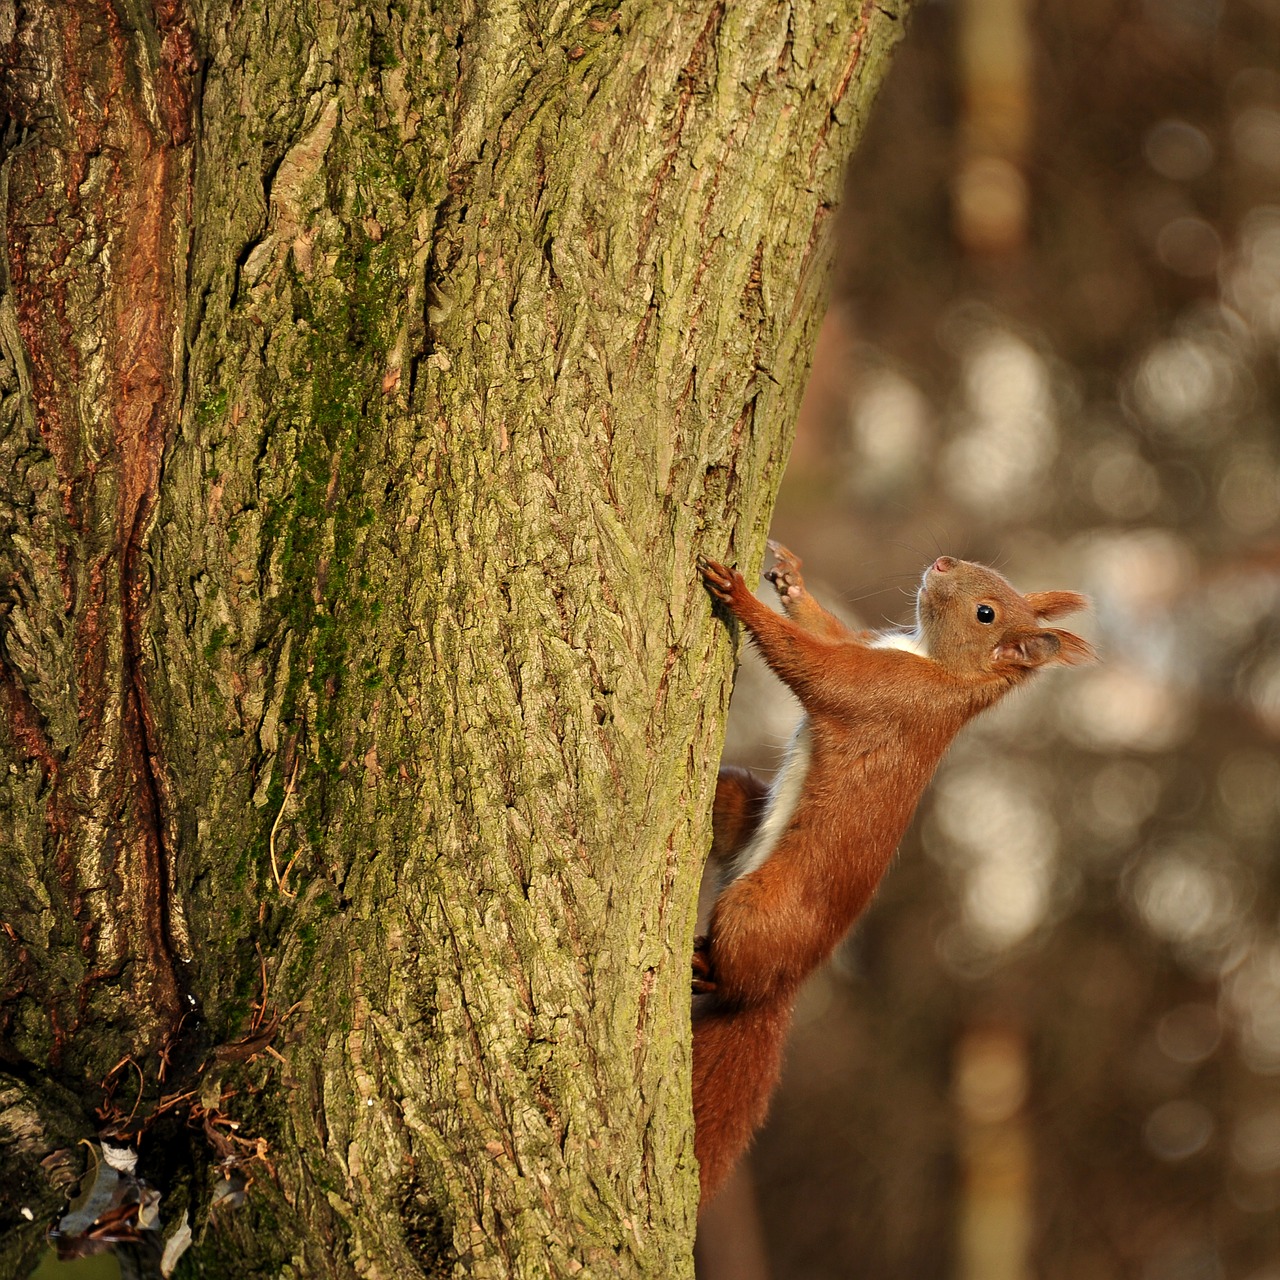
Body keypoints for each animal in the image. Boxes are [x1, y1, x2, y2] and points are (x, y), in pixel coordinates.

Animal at [691, 545, 1090, 1203]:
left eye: (986, 613)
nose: (943, 560)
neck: (936, 665)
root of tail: (786, 983)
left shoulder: (888, 694)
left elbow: (814, 667)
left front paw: (741, 596)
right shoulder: (872, 649)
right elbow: (829, 631)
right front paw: (791, 582)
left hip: (758, 912)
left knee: (738, 976)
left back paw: (711, 970)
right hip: (736, 804)